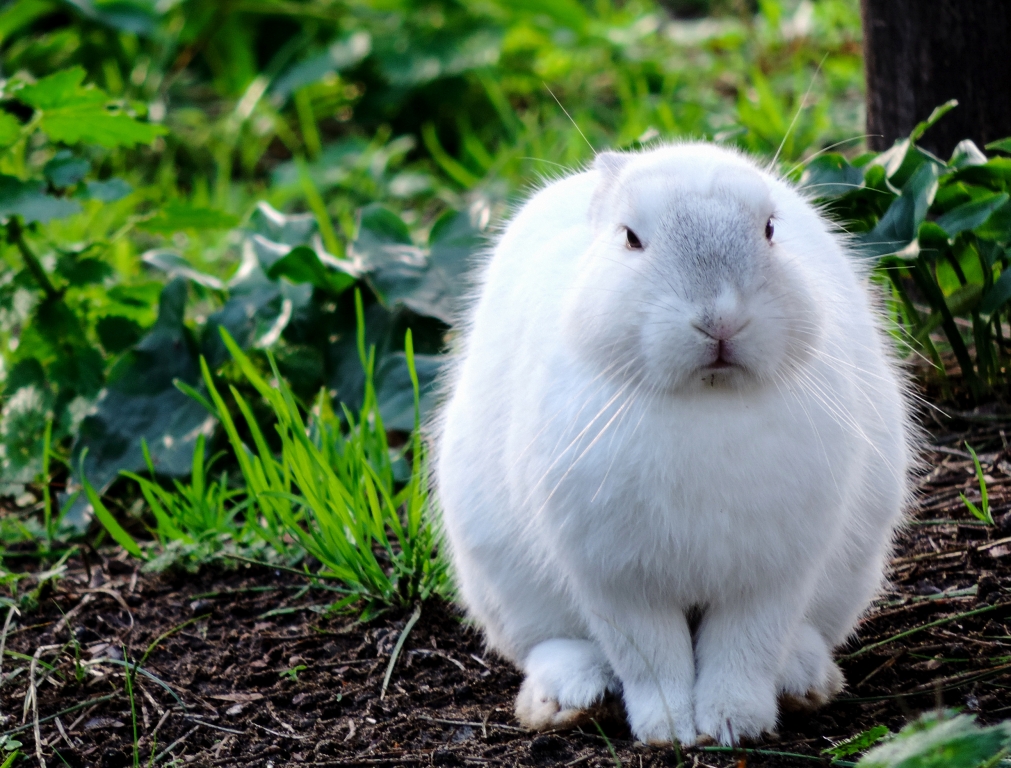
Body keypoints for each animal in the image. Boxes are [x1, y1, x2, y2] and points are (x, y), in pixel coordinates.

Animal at [434, 142, 914, 746]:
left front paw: (734, 724)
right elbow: (651, 659)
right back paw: (571, 697)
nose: (720, 319)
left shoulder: (772, 574)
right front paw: (670, 730)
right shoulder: (618, 580)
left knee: (800, 636)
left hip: (851, 573)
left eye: (770, 229)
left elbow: (745, 648)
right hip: (503, 579)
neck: (705, 397)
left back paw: (804, 681)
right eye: (631, 238)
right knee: (549, 643)